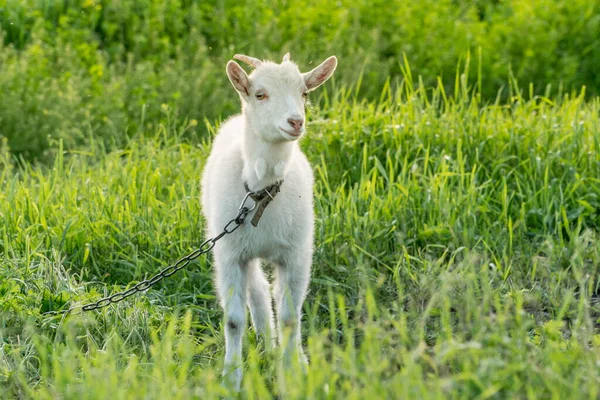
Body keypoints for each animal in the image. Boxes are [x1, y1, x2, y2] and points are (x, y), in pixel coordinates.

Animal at [202, 51, 338, 390]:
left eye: (304, 93)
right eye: (259, 94)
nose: (295, 122)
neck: (261, 193)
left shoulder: (296, 254)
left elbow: (291, 318)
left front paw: (293, 374)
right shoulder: (229, 254)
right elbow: (233, 320)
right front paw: (231, 379)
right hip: (242, 250)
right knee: (259, 291)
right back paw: (265, 344)